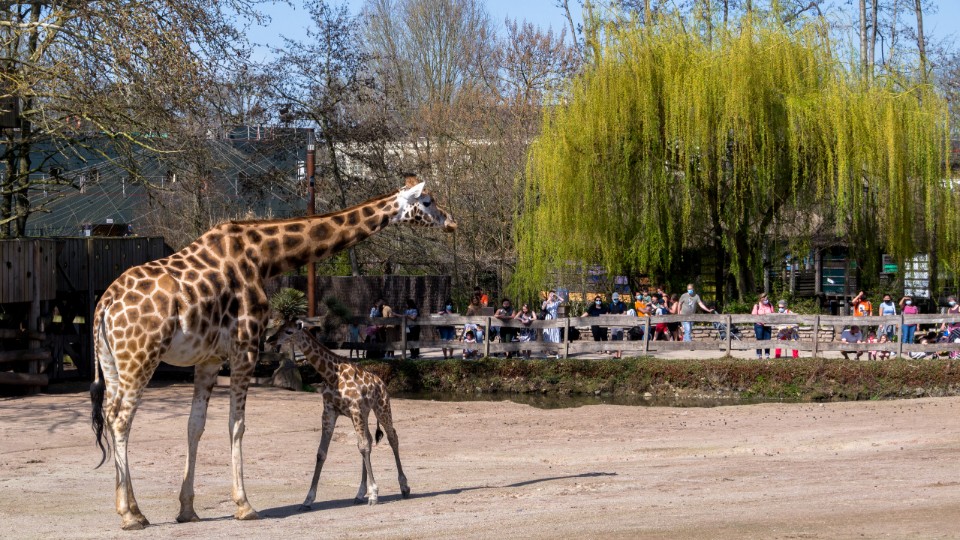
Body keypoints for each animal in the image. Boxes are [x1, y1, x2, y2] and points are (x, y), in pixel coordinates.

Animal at [266, 319, 409, 509]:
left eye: (289, 331)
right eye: (279, 327)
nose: (270, 340)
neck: (331, 374)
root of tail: (382, 383)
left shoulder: (354, 408)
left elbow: (363, 446)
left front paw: (374, 494)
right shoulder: (329, 411)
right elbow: (322, 452)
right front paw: (308, 498)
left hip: (382, 407)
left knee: (392, 437)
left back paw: (404, 487)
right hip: (364, 413)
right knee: (370, 440)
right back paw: (359, 493)